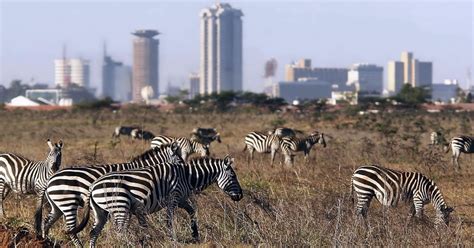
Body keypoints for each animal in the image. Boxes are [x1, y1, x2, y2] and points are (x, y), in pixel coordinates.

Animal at [42, 142, 181, 245]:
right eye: (180, 161)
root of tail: (50, 180)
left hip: (58, 206)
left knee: (46, 223)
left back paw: (45, 242)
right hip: (68, 202)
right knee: (70, 230)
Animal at [67, 156, 243, 247]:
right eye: (233, 176)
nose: (240, 196)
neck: (187, 176)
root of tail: (92, 186)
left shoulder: (181, 199)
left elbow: (192, 211)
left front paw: (195, 234)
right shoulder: (173, 198)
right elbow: (169, 220)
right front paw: (172, 238)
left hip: (101, 211)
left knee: (94, 232)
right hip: (120, 206)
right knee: (120, 231)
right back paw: (128, 245)